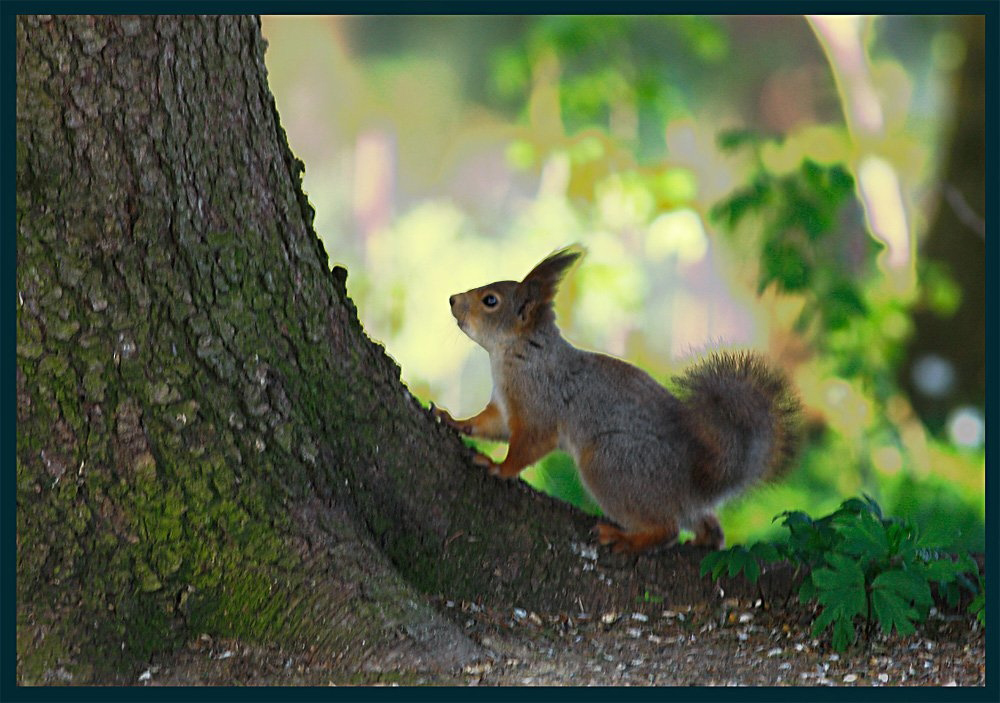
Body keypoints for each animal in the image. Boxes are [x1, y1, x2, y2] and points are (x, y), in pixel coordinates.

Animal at [432, 245, 804, 552]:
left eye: (490, 300)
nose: (451, 299)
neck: (518, 352)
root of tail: (695, 485)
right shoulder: (506, 406)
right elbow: (488, 425)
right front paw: (453, 420)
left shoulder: (540, 403)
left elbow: (528, 444)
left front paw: (498, 467)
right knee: (708, 527)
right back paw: (703, 538)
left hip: (610, 463)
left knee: (667, 529)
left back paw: (625, 538)